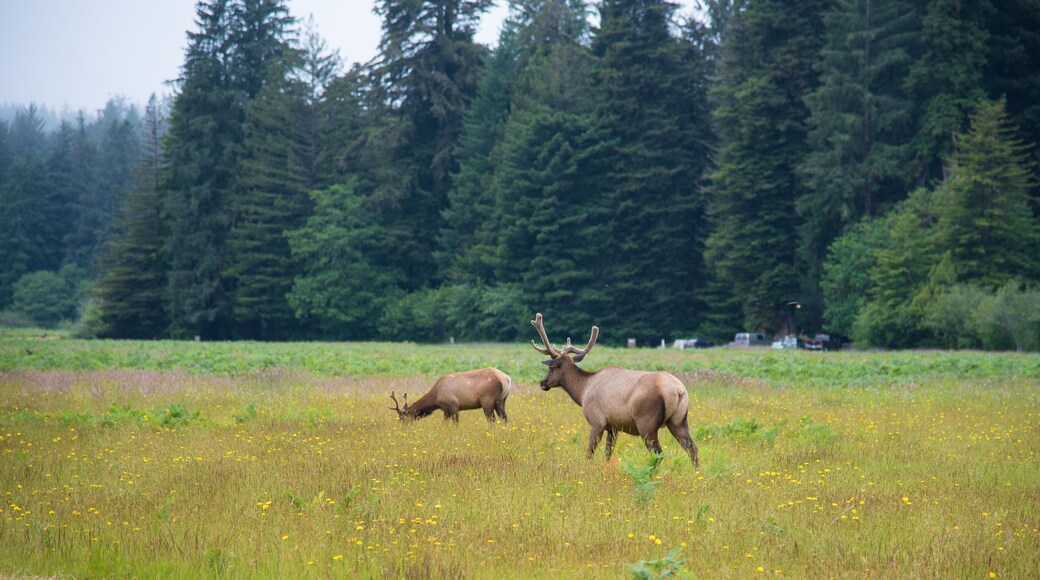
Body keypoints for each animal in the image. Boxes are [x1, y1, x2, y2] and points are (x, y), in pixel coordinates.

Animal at [530, 313, 699, 467]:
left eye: (551, 368)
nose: (543, 383)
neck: (583, 391)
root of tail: (678, 390)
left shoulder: (597, 421)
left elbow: (590, 453)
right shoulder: (614, 427)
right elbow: (607, 454)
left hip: (647, 422)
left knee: (658, 454)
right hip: (679, 420)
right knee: (692, 448)